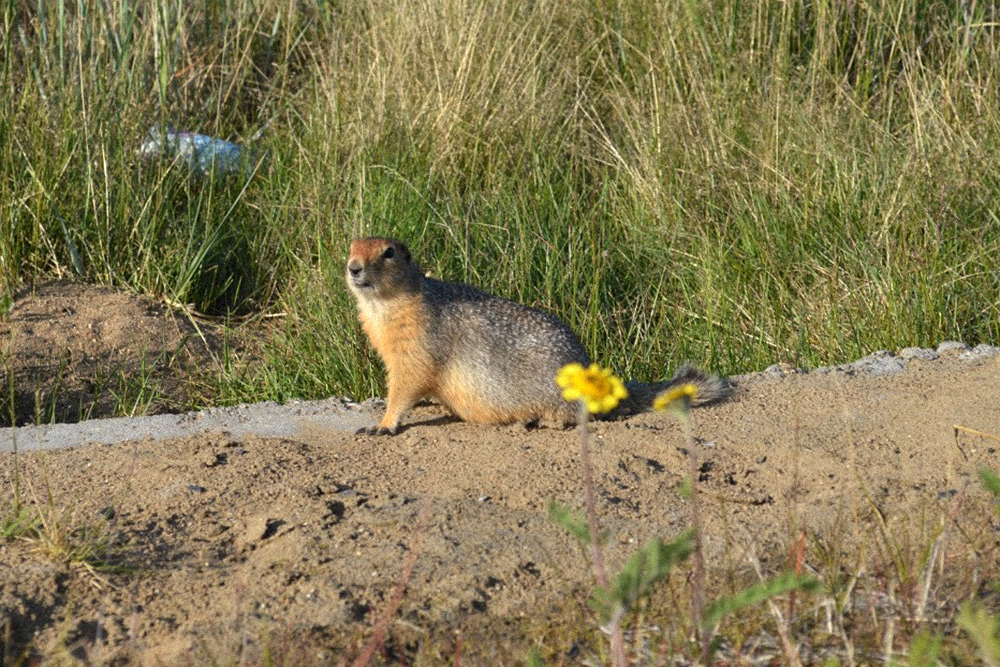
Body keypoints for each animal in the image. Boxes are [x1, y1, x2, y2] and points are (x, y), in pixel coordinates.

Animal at [346, 237, 728, 436]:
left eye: (388, 252)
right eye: (351, 245)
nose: (353, 267)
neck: (386, 306)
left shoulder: (417, 342)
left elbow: (408, 381)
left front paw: (382, 424)